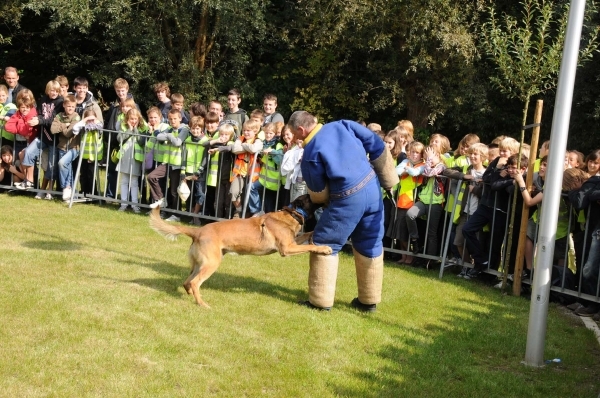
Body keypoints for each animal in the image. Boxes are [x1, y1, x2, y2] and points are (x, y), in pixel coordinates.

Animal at [148, 194, 330, 310]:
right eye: (310, 196)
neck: (292, 214)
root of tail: (197, 231)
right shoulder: (287, 248)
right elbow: (309, 246)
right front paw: (324, 248)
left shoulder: (292, 243)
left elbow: (307, 235)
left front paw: (314, 233)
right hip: (212, 264)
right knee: (194, 283)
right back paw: (202, 304)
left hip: (200, 264)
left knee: (187, 282)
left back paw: (191, 296)